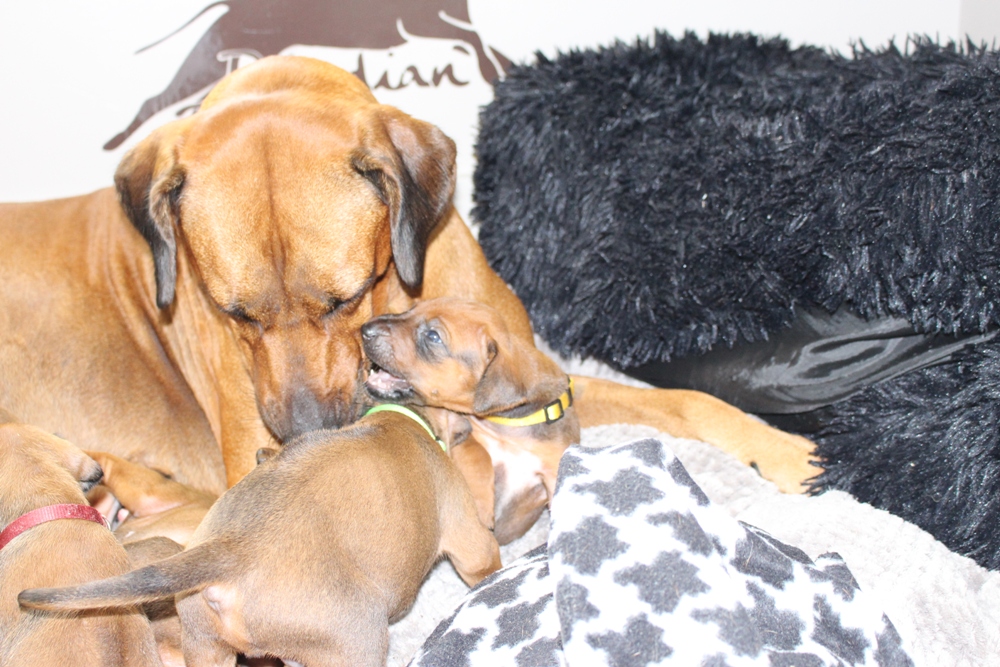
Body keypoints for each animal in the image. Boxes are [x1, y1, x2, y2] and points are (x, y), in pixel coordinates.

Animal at [19, 407, 501, 666]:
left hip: (204, 641)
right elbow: (487, 562)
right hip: (355, 642)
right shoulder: (469, 537)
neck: (400, 418)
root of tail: (230, 549)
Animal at [362, 297, 579, 543]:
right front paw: (482, 506)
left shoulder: (553, 471)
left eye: (433, 336)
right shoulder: (464, 431)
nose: (364, 329)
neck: (512, 422)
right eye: (411, 308)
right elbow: (479, 455)